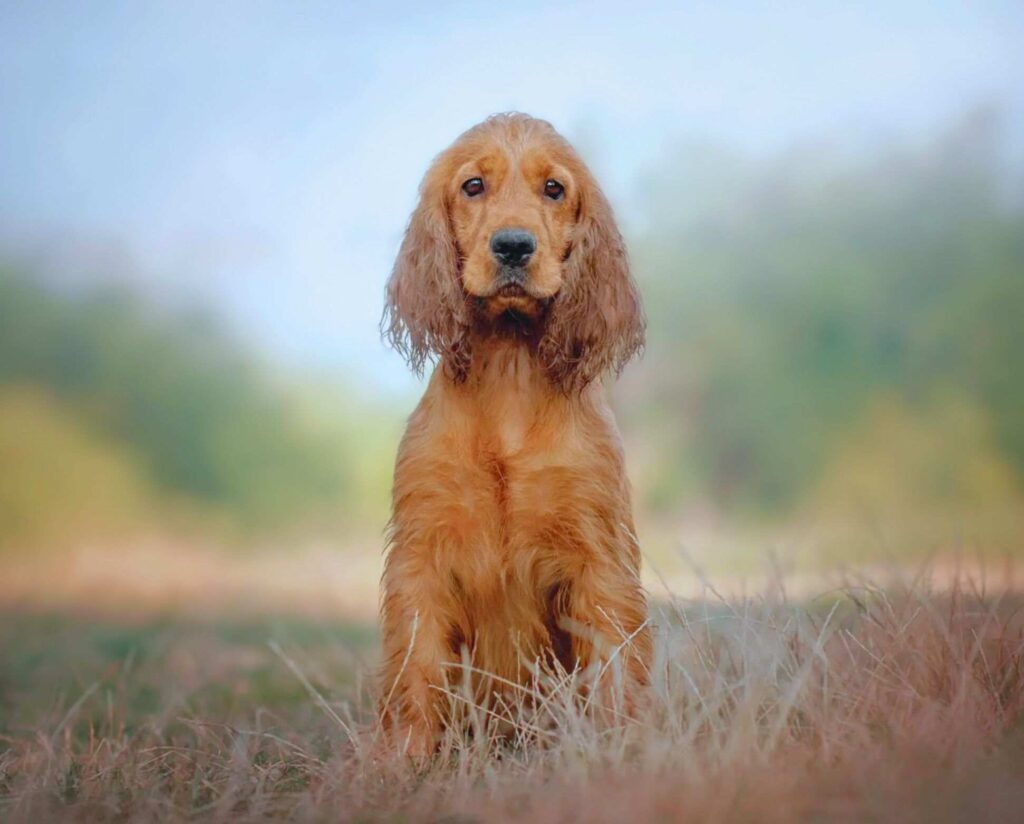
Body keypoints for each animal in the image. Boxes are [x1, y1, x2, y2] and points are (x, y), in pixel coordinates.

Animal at [376, 112, 647, 757]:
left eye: (554, 189)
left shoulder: (598, 558)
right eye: (473, 186)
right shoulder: (421, 555)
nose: (514, 246)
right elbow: (415, 671)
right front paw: (399, 763)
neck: (509, 366)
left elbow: (615, 668)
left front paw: (621, 751)